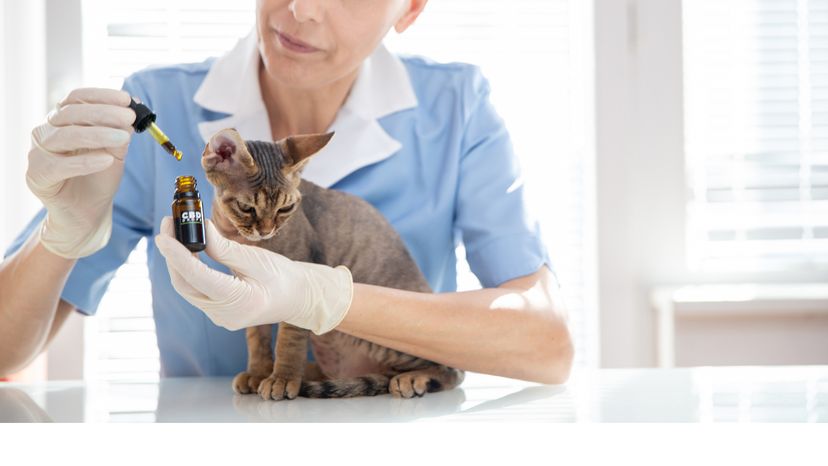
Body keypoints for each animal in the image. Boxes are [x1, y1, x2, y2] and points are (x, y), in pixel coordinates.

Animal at [198, 128, 462, 400]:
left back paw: (414, 378)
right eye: (246, 207)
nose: (266, 231)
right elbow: (256, 336)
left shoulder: (296, 281)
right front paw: (258, 372)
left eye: (286, 208)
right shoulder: (253, 288)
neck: (242, 239)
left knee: (450, 370)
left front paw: (282, 378)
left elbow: (288, 340)